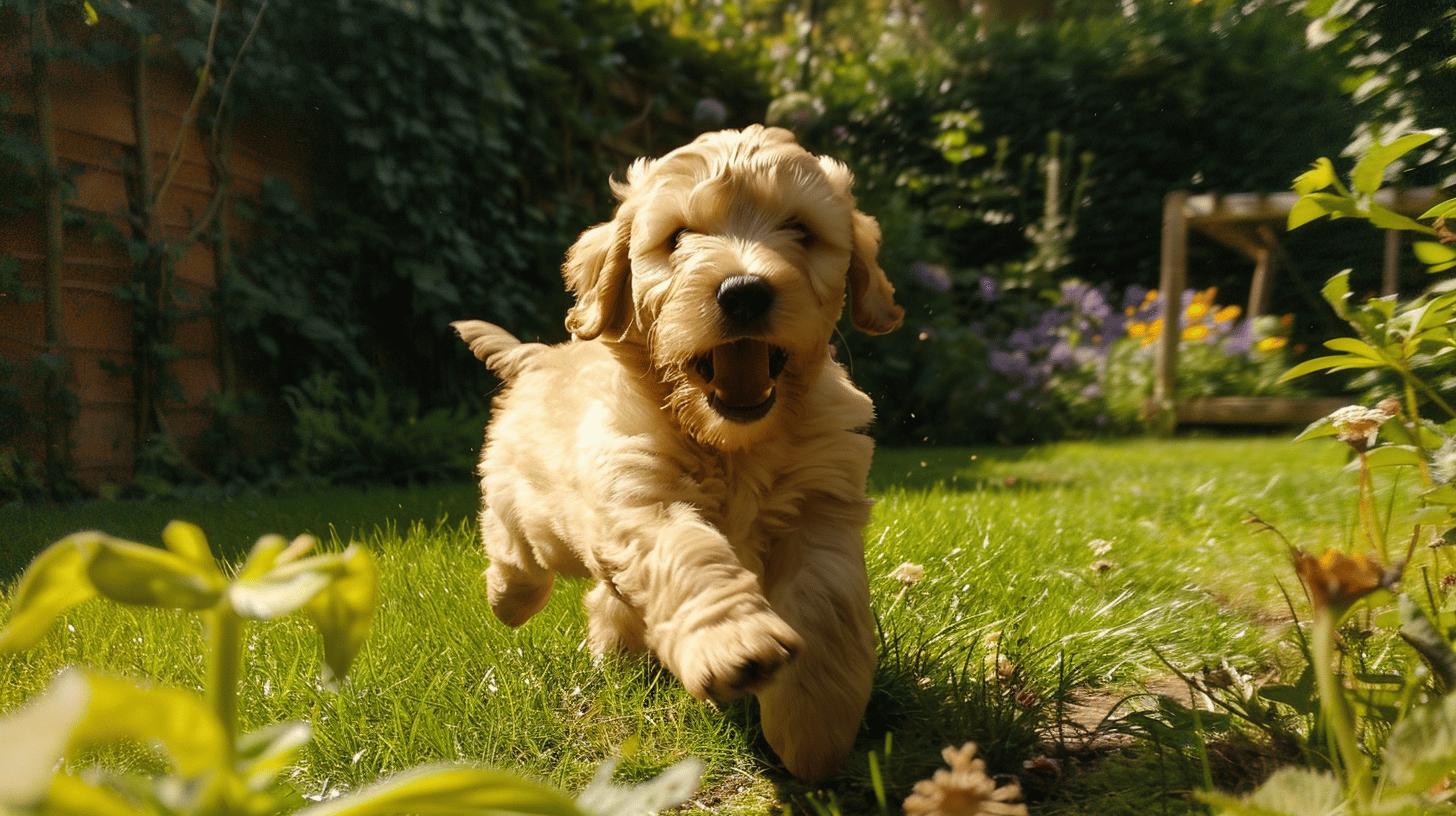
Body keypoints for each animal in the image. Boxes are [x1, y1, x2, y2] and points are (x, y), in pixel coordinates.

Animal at [451, 124, 896, 781]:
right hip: (528, 506)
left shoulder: (822, 502)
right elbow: (691, 555)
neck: (731, 444)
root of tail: (541, 357)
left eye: (800, 230)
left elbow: (824, 600)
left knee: (602, 598)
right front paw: (734, 644)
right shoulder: (640, 496)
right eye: (678, 238)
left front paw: (814, 725)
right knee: (513, 544)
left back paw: (616, 657)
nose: (744, 293)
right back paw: (508, 599)